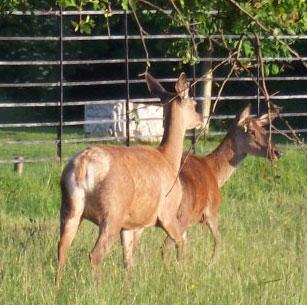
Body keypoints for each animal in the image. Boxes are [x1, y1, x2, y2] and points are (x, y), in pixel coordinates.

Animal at [55, 72, 205, 284]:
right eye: (193, 103)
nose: (201, 118)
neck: (169, 159)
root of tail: (84, 164)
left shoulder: (129, 225)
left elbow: (128, 261)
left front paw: (129, 284)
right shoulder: (165, 212)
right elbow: (180, 243)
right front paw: (182, 272)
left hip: (69, 207)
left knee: (62, 248)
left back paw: (57, 286)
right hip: (112, 210)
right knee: (95, 254)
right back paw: (97, 287)